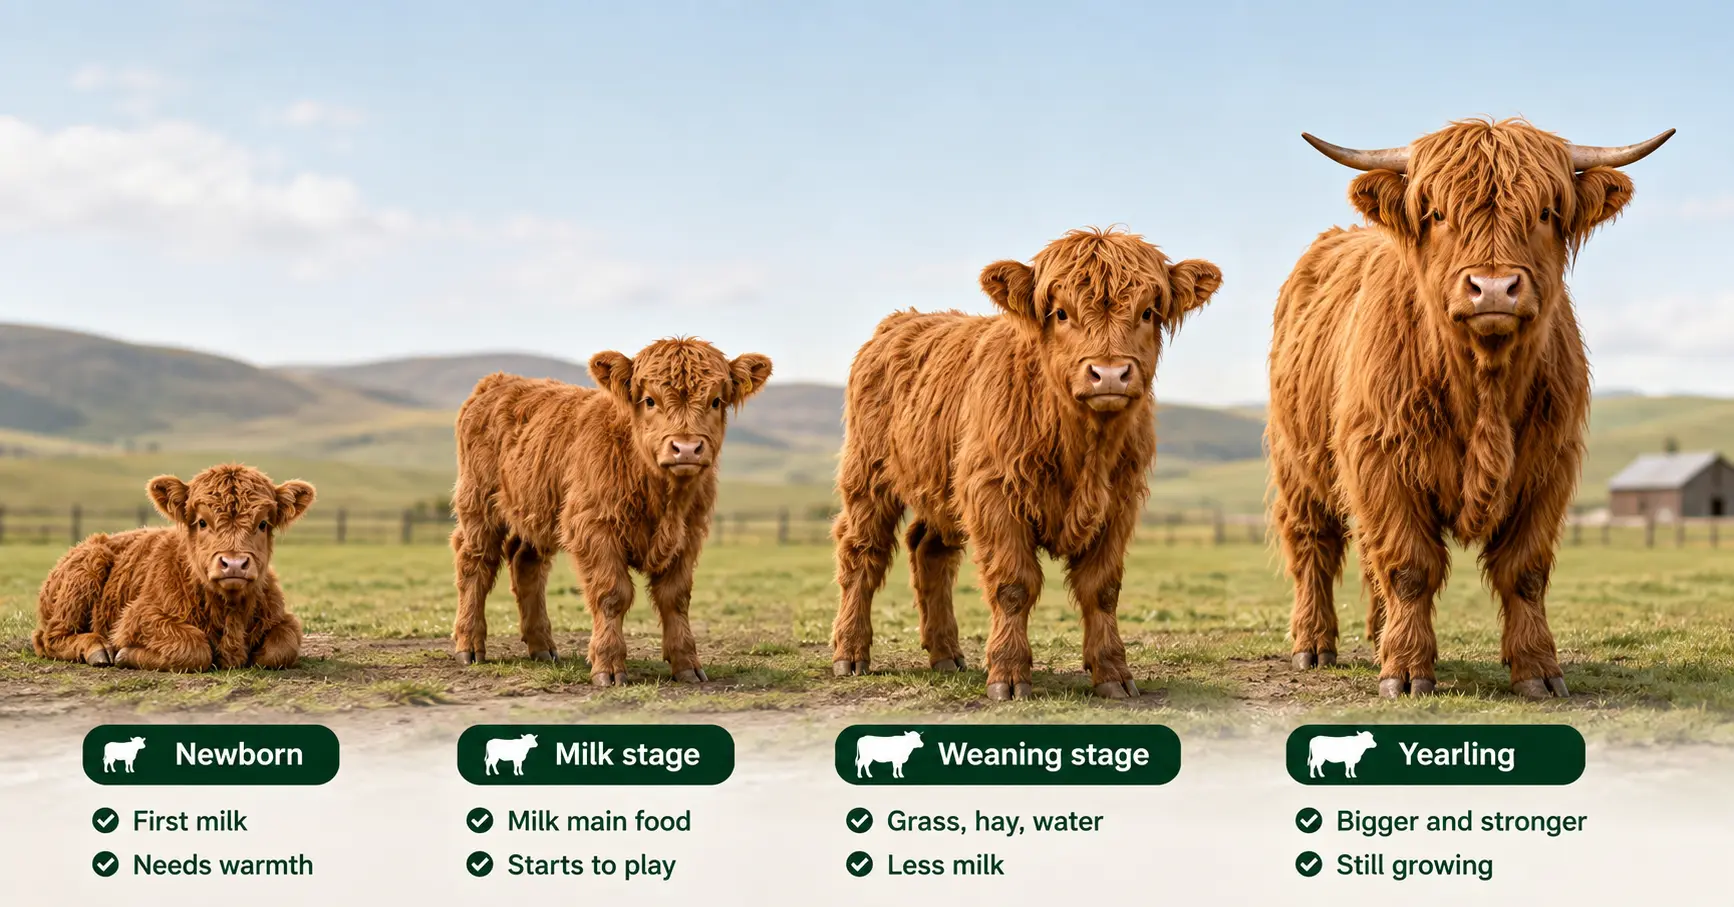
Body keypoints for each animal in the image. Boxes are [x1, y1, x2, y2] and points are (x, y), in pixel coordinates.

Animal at [32, 464, 316, 672]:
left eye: (263, 524)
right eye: (202, 522)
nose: (234, 563)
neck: (229, 611)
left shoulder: (282, 618)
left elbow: (282, 648)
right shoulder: (138, 617)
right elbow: (195, 647)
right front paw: (126, 654)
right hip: (83, 577)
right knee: (49, 637)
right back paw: (97, 649)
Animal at [449, 338, 772, 685]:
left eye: (715, 401)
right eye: (649, 400)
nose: (686, 448)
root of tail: (498, 381)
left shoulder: (688, 535)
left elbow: (675, 598)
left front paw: (686, 664)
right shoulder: (594, 527)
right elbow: (612, 594)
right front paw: (608, 666)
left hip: (536, 510)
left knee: (526, 563)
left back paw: (542, 647)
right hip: (478, 504)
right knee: (475, 563)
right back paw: (469, 645)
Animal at [830, 227, 1222, 700]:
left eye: (1148, 311)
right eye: (1060, 312)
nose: (1109, 374)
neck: (1082, 448)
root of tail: (901, 320)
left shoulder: (1119, 502)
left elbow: (1102, 588)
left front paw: (1112, 673)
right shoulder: (993, 491)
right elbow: (1013, 585)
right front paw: (1009, 674)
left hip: (942, 485)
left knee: (929, 550)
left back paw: (945, 654)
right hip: (868, 476)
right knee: (861, 553)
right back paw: (851, 654)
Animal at [1269, 118, 1673, 698]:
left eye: (1545, 212)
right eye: (1437, 214)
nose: (1494, 288)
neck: (1484, 384)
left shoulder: (1547, 466)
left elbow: (1525, 571)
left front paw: (1537, 669)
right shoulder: (1380, 459)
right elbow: (1409, 567)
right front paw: (1406, 672)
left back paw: (1376, 638)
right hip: (1297, 464)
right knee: (1313, 548)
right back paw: (1314, 645)